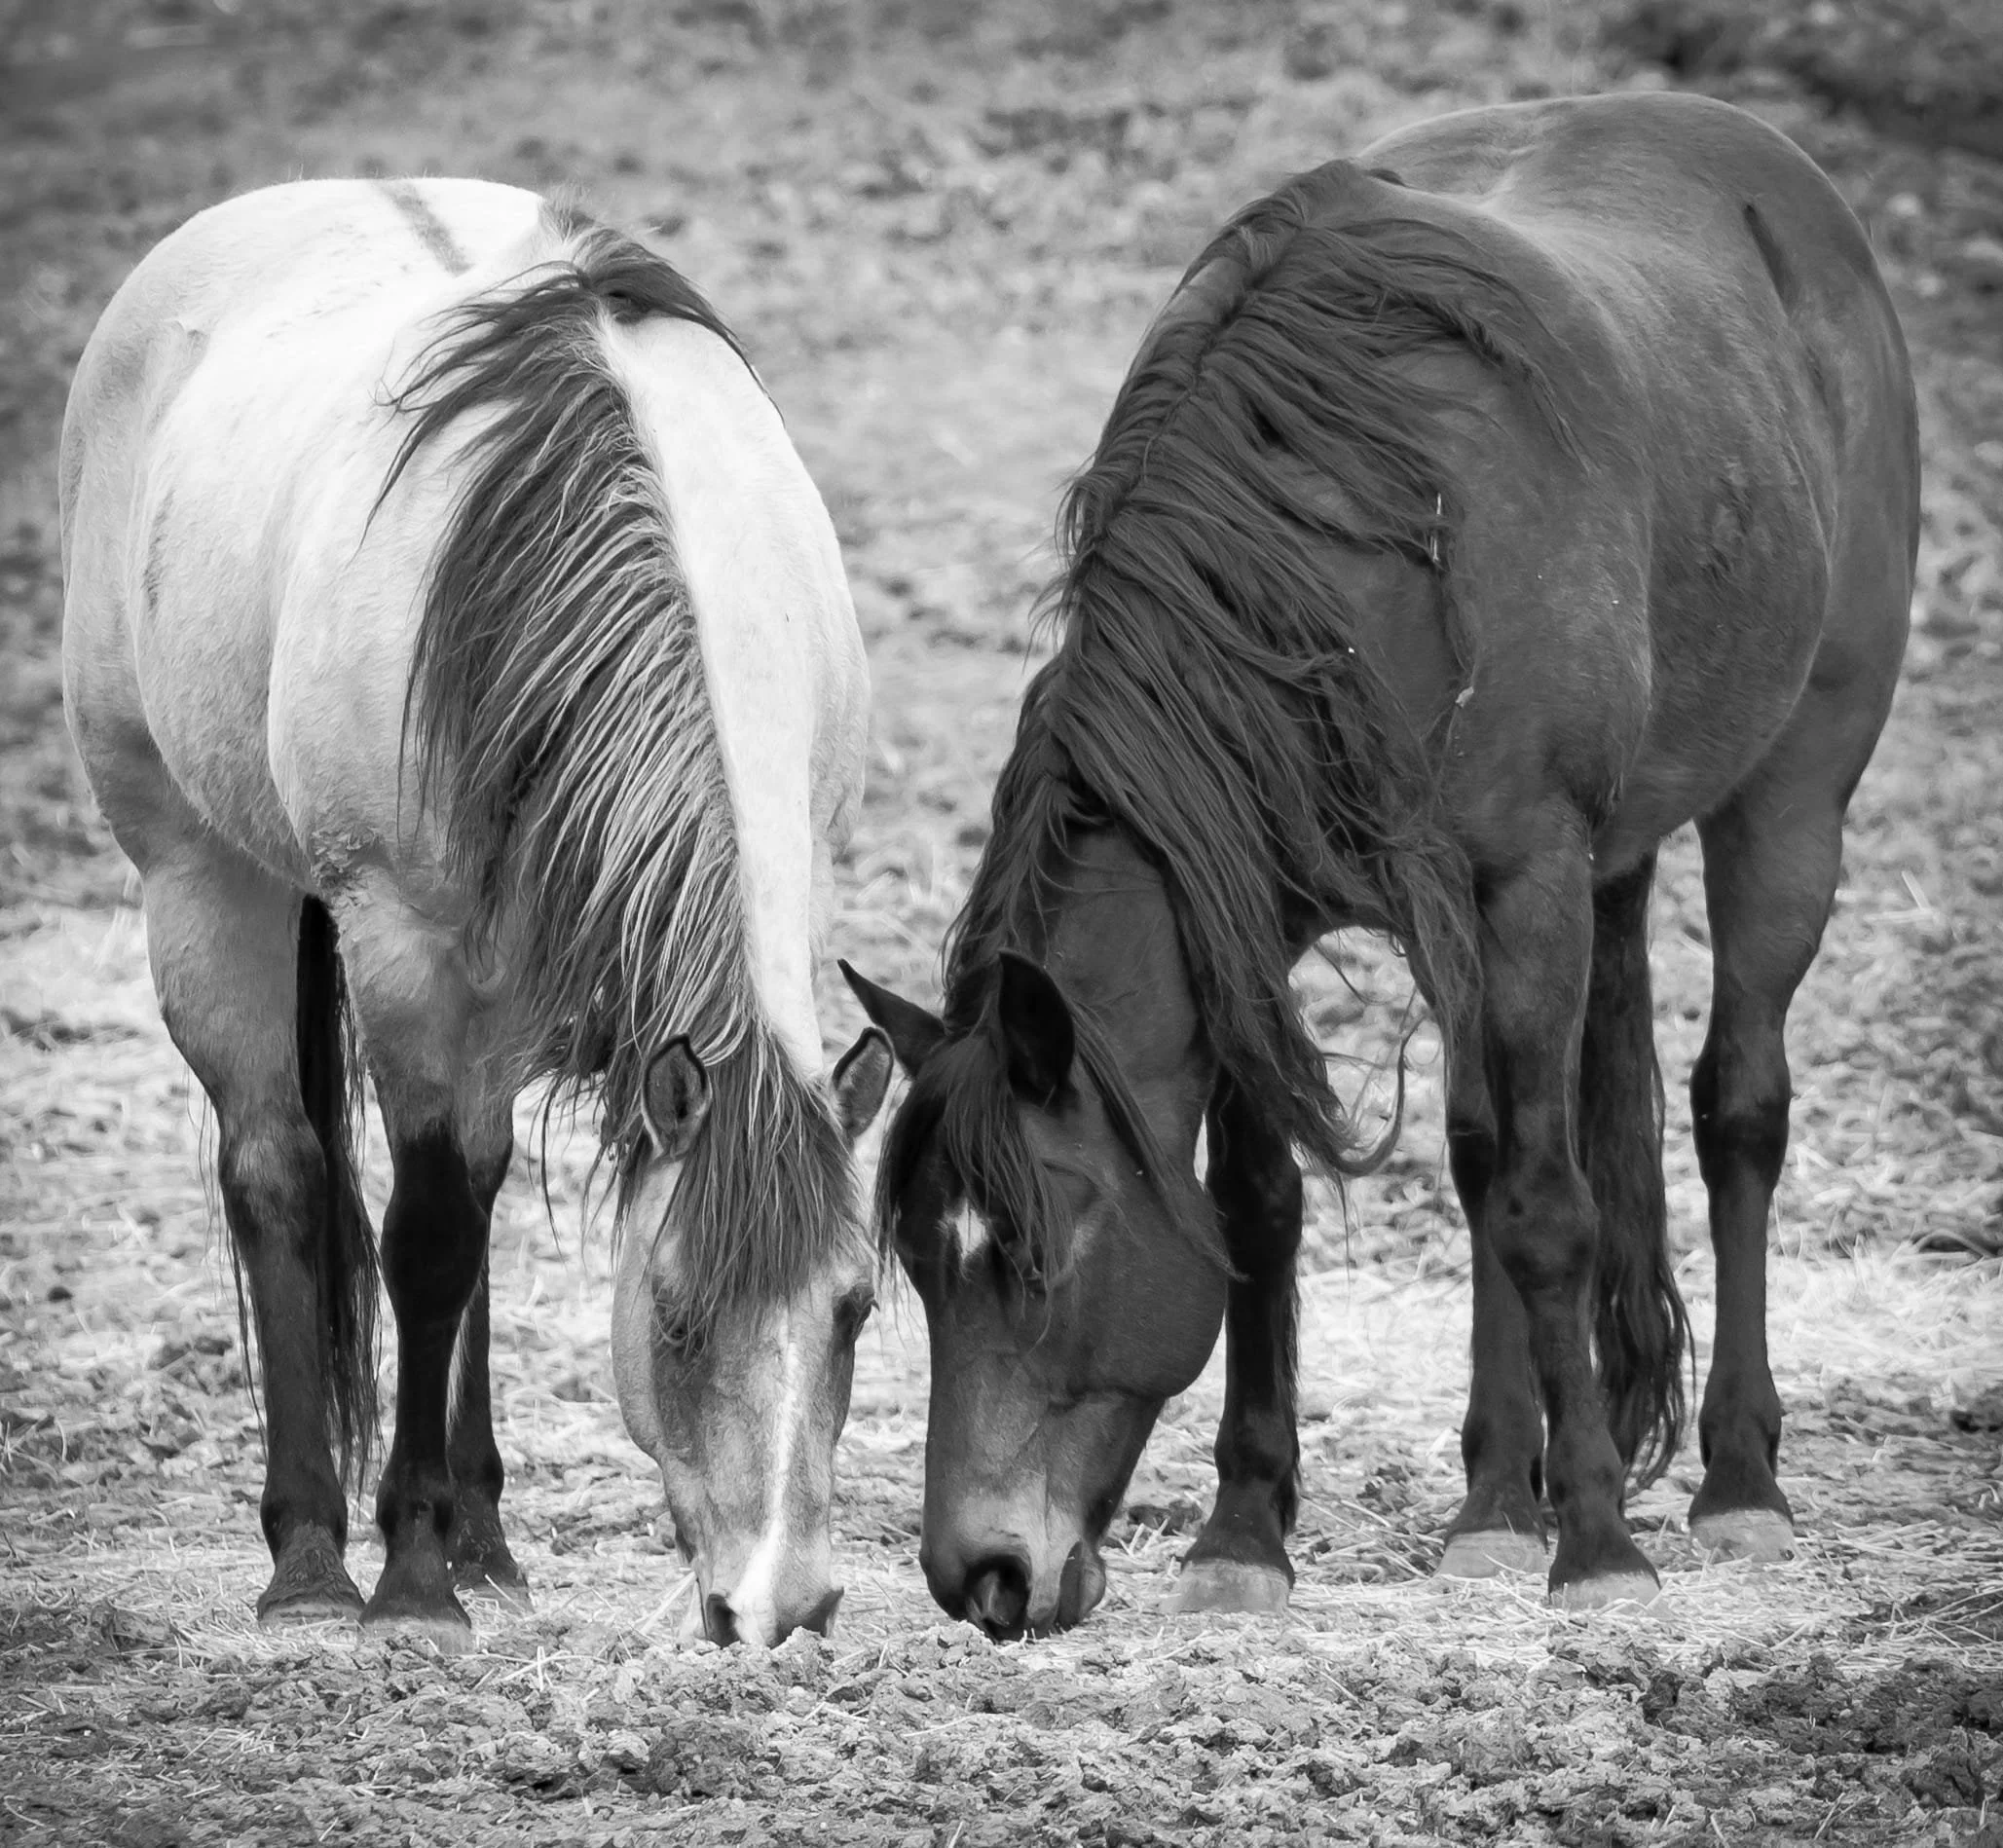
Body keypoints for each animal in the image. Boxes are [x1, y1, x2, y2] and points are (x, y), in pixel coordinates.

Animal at [60, 177, 893, 1648]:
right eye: (674, 1319)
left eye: (851, 1310)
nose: (777, 1603)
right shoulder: (402, 942)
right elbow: (427, 1235)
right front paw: (409, 1579)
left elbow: (474, 1206)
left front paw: (460, 1543)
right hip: (197, 878)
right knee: (281, 1170)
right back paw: (309, 1559)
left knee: (475, 1175)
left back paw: (486, 1539)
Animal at [843, 90, 1919, 1637]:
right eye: (924, 1266)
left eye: (1044, 1254)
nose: (980, 1575)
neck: (1358, 551)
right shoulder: (1249, 918)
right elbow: (1262, 1207)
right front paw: (1244, 1536)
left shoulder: (1527, 883)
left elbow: (1549, 1206)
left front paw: (1601, 1544)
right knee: (1482, 1150)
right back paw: (1495, 1503)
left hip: (1789, 802)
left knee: (1734, 1112)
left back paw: (1734, 1484)